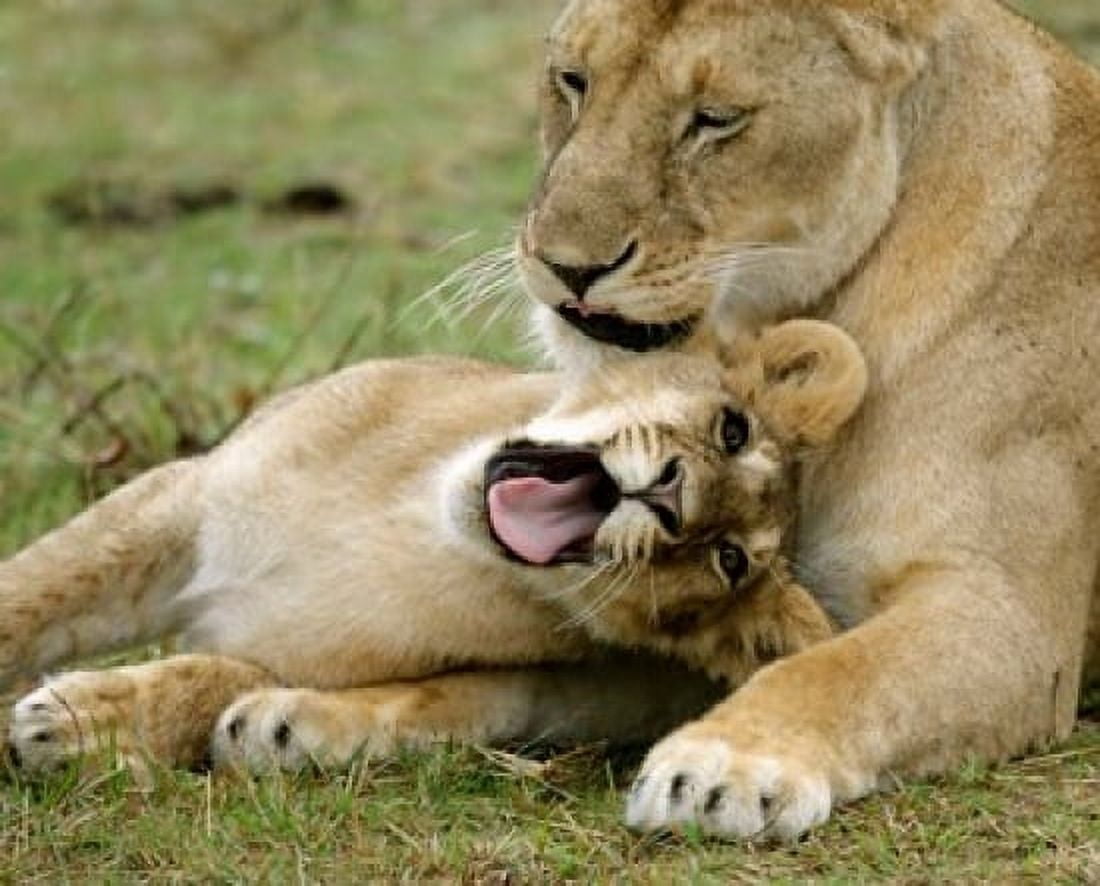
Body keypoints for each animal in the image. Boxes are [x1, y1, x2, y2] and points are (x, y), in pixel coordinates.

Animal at [2, 320, 865, 779]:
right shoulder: (185, 494)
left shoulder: (280, 645)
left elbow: (211, 675)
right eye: (732, 428)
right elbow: (34, 589)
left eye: (729, 560)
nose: (670, 497)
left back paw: (279, 729)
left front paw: (77, 718)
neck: (409, 519)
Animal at [511, 0, 1100, 840]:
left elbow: (847, 670)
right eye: (573, 80)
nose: (566, 266)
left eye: (715, 120)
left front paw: (723, 762)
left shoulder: (1013, 617)